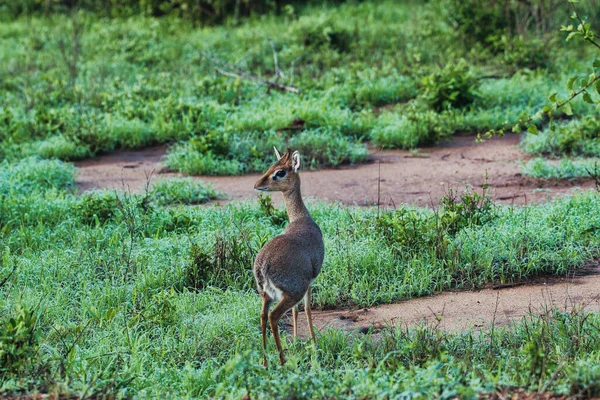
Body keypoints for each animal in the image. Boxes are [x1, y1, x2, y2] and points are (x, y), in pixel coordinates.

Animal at [254, 147, 328, 366]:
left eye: (279, 171)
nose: (257, 185)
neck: (301, 219)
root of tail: (263, 266)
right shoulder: (310, 282)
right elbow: (308, 308)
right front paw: (313, 342)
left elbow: (297, 311)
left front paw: (296, 340)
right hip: (291, 292)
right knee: (273, 316)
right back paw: (282, 360)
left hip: (266, 294)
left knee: (262, 316)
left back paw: (265, 361)